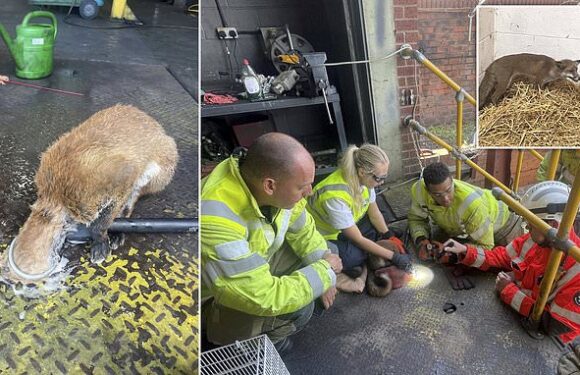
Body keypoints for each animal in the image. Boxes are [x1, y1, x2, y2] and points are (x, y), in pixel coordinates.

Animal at [6, 105, 178, 282]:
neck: (59, 194)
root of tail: (154, 122)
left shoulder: (123, 179)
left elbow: (102, 223)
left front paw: (101, 243)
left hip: (154, 175)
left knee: (132, 201)